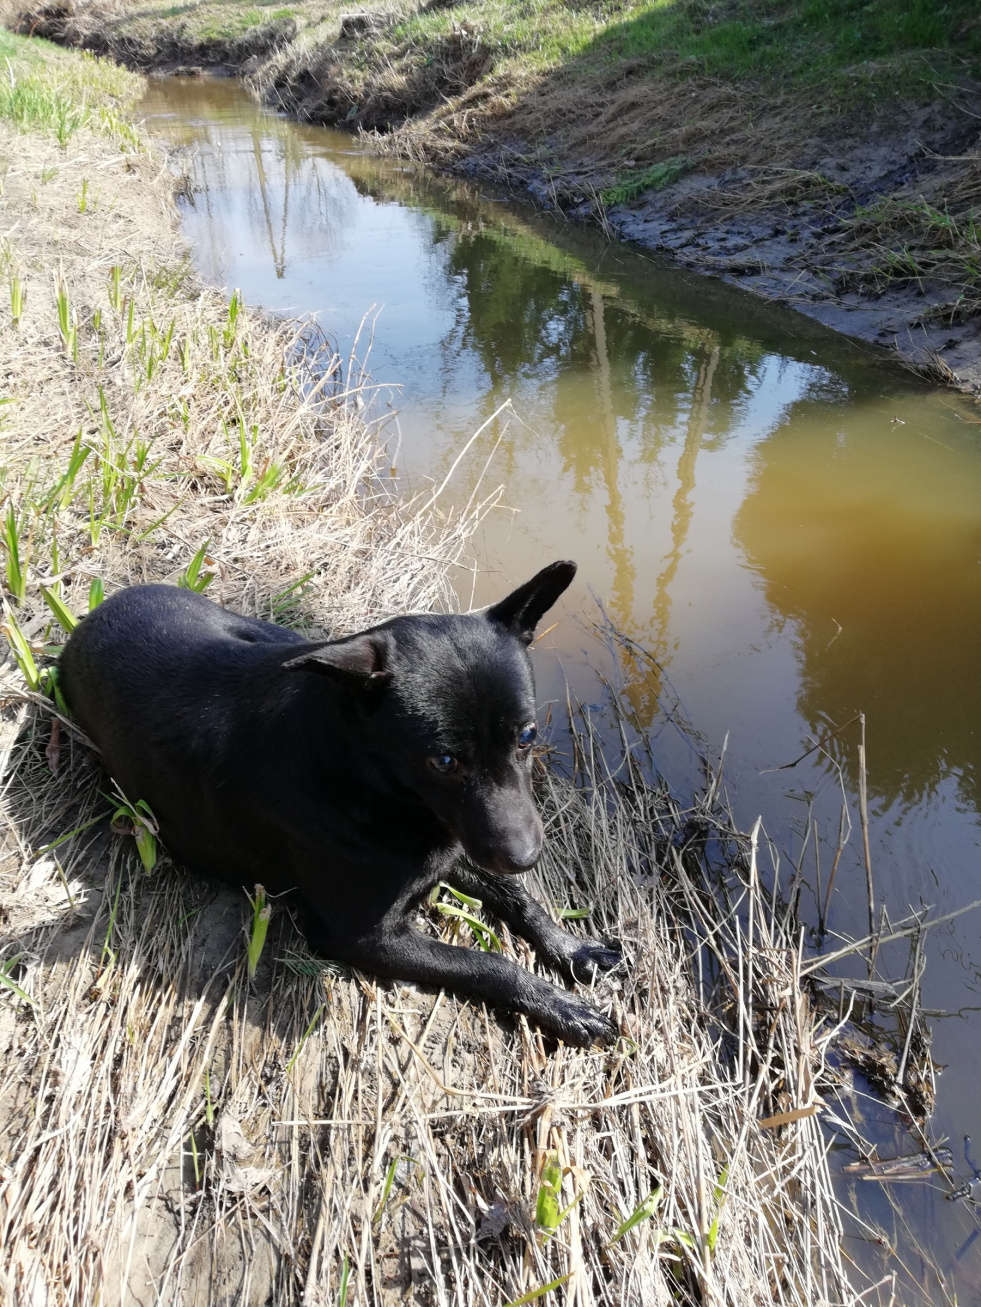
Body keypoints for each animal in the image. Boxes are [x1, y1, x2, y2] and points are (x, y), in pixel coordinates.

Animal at [59, 559, 621, 1040]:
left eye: (527, 736)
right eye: (443, 761)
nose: (525, 856)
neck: (364, 779)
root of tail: (106, 607)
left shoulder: (451, 847)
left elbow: (517, 897)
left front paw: (572, 949)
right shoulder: (362, 935)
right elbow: (486, 964)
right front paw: (558, 1005)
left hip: (277, 639)